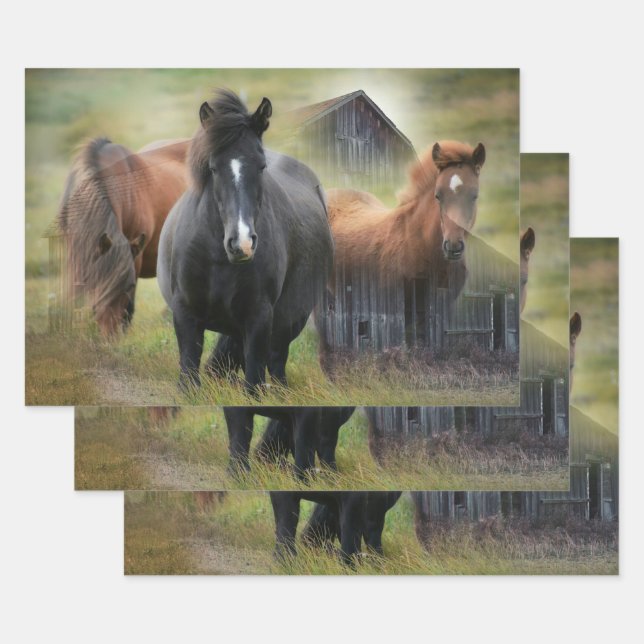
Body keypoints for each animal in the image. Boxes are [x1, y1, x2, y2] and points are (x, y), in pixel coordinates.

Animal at [157, 90, 334, 393]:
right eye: (213, 168)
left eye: (261, 166)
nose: (242, 244)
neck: (218, 259)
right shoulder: (185, 312)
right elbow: (189, 372)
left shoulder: (259, 317)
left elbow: (254, 380)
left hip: (288, 321)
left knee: (276, 361)